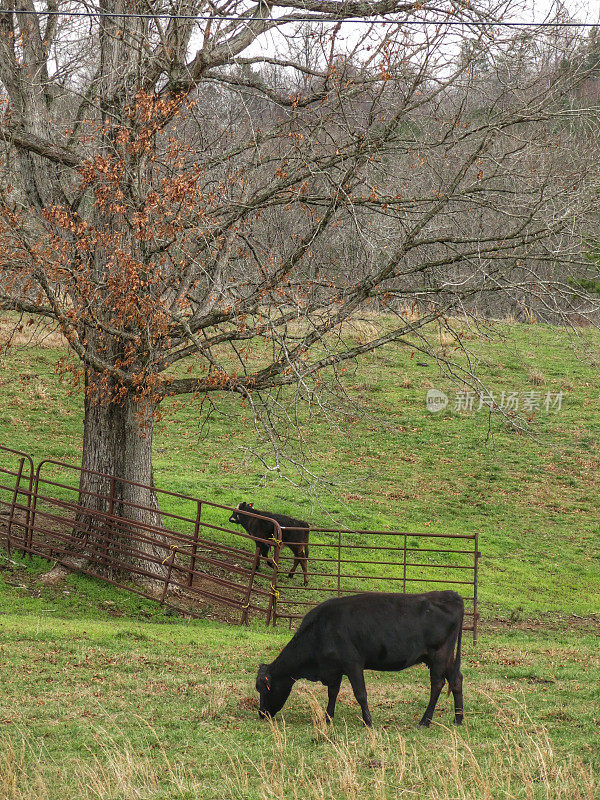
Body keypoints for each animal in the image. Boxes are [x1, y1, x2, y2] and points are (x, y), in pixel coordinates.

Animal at [253, 592, 464, 728]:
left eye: (263, 689)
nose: (262, 713)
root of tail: (449, 594)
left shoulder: (352, 664)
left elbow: (360, 694)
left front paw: (368, 722)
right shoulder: (333, 669)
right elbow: (332, 693)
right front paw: (328, 718)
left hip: (439, 655)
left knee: (437, 684)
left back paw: (425, 721)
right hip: (446, 658)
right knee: (456, 680)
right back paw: (458, 719)